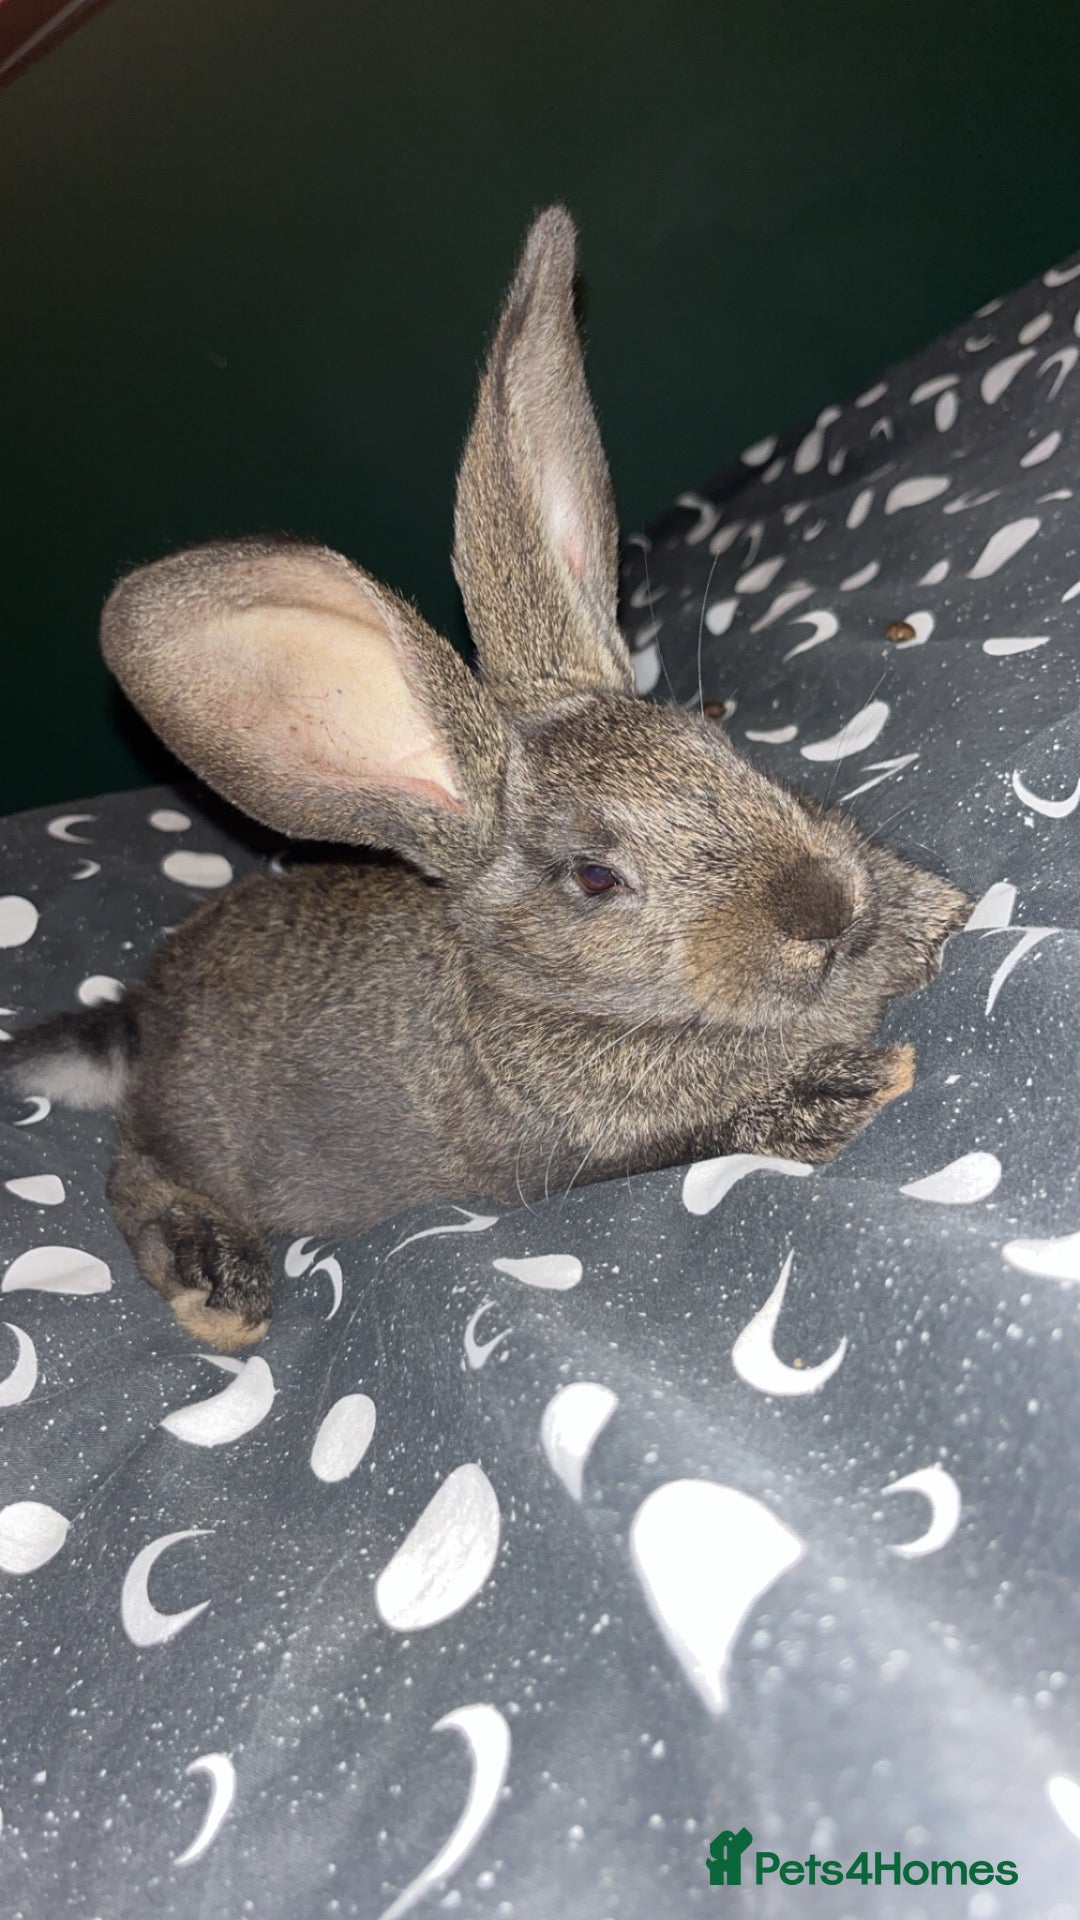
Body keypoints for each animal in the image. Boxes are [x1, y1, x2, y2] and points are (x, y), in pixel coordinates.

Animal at [4, 206, 971, 1349]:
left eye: (720, 745)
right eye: (593, 876)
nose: (825, 909)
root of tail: (141, 1023)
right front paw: (860, 1083)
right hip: (193, 1146)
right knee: (131, 1172)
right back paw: (218, 1291)